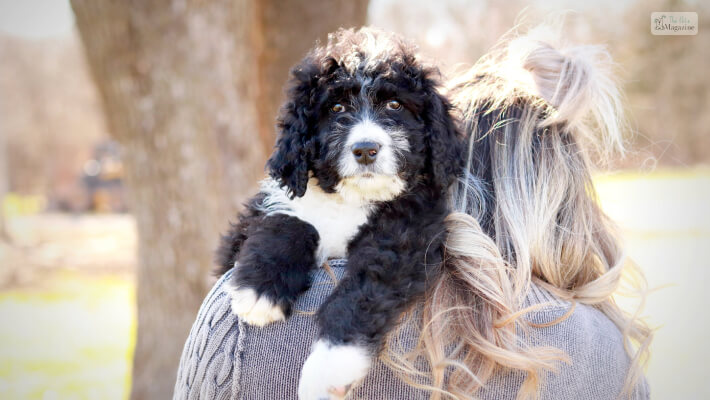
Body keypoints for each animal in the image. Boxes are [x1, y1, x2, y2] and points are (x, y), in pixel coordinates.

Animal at [214, 27, 464, 396]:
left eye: (395, 104)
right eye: (336, 108)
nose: (365, 149)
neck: (351, 200)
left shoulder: (405, 240)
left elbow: (361, 294)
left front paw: (328, 367)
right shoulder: (265, 212)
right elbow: (289, 225)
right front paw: (259, 292)